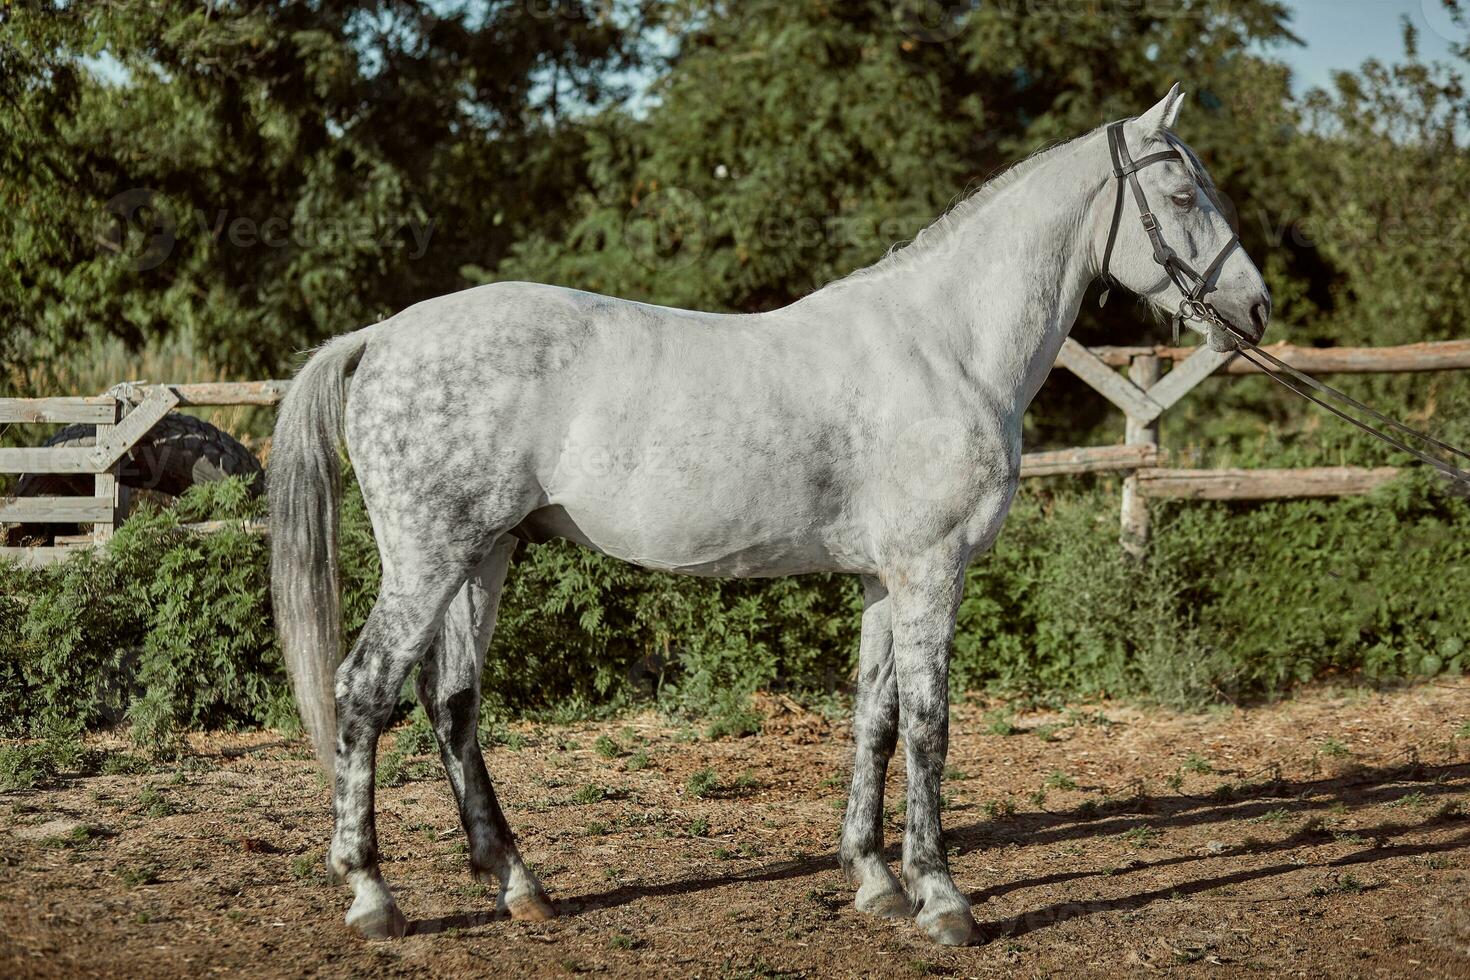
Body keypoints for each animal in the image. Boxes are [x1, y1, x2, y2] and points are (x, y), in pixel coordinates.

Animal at [270, 88, 1270, 946]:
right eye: (1182, 191)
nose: (1256, 309)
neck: (946, 348)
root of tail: (383, 336)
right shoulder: (931, 571)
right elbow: (931, 724)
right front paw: (943, 899)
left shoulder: (882, 580)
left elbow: (875, 718)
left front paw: (874, 880)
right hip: (429, 560)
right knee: (363, 690)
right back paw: (373, 895)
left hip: (485, 556)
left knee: (452, 701)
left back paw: (520, 885)